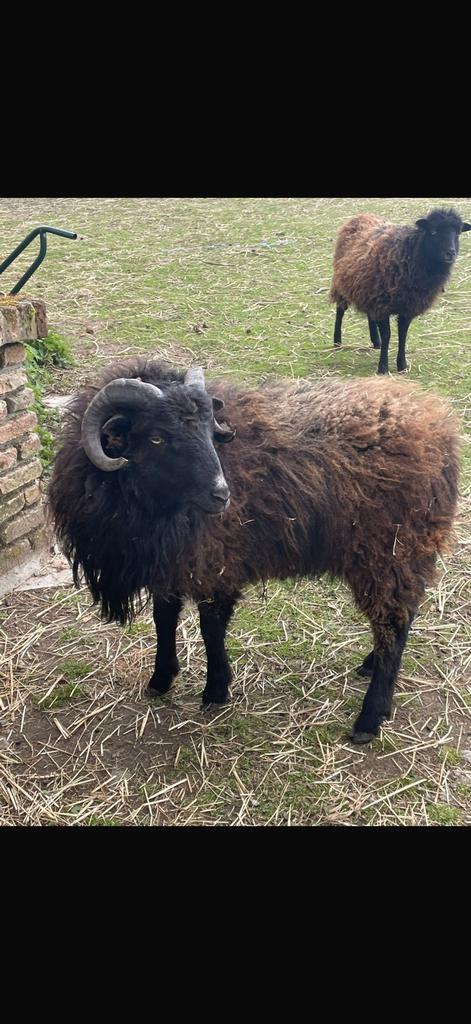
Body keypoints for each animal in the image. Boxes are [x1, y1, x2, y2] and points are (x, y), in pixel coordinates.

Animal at [48, 358, 460, 744]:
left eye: (209, 430)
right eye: (156, 438)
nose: (221, 494)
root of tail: (440, 430)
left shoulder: (215, 562)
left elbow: (210, 627)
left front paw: (216, 689)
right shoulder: (173, 564)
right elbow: (164, 619)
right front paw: (161, 679)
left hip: (390, 553)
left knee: (392, 625)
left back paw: (369, 720)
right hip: (400, 557)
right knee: (399, 621)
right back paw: (371, 666)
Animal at [330, 207, 471, 374]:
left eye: (458, 233)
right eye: (433, 232)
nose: (450, 253)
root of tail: (360, 216)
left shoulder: (407, 306)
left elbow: (403, 334)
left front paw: (402, 365)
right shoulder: (382, 304)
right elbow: (387, 335)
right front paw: (383, 367)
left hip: (368, 288)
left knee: (370, 314)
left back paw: (375, 341)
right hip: (342, 284)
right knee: (340, 310)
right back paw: (337, 341)